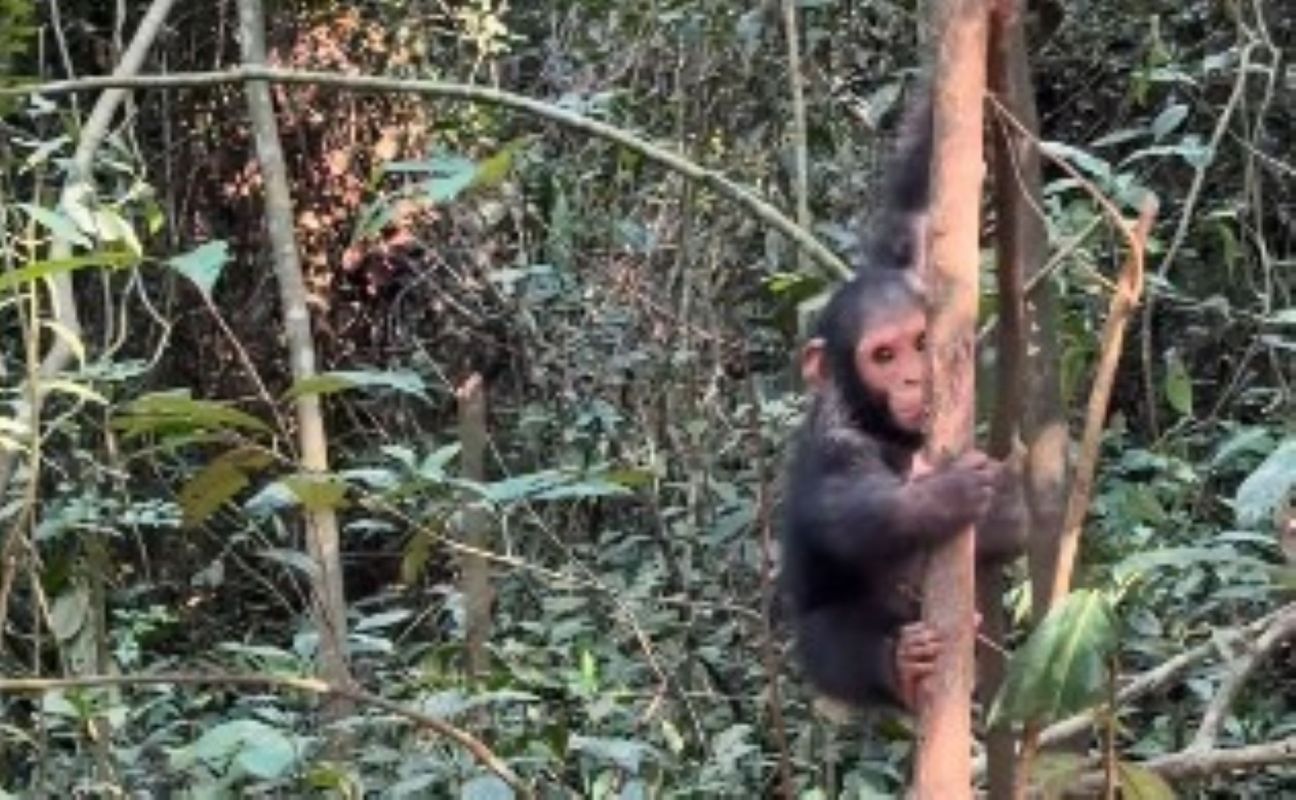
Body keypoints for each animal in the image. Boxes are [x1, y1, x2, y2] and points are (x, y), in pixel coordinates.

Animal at [782, 88, 1026, 711]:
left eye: (919, 342)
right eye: (884, 355)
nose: (916, 379)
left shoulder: (913, 263)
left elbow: (916, 205)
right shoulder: (835, 447)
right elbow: (855, 511)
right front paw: (948, 493)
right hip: (821, 661)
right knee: (837, 637)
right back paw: (902, 668)